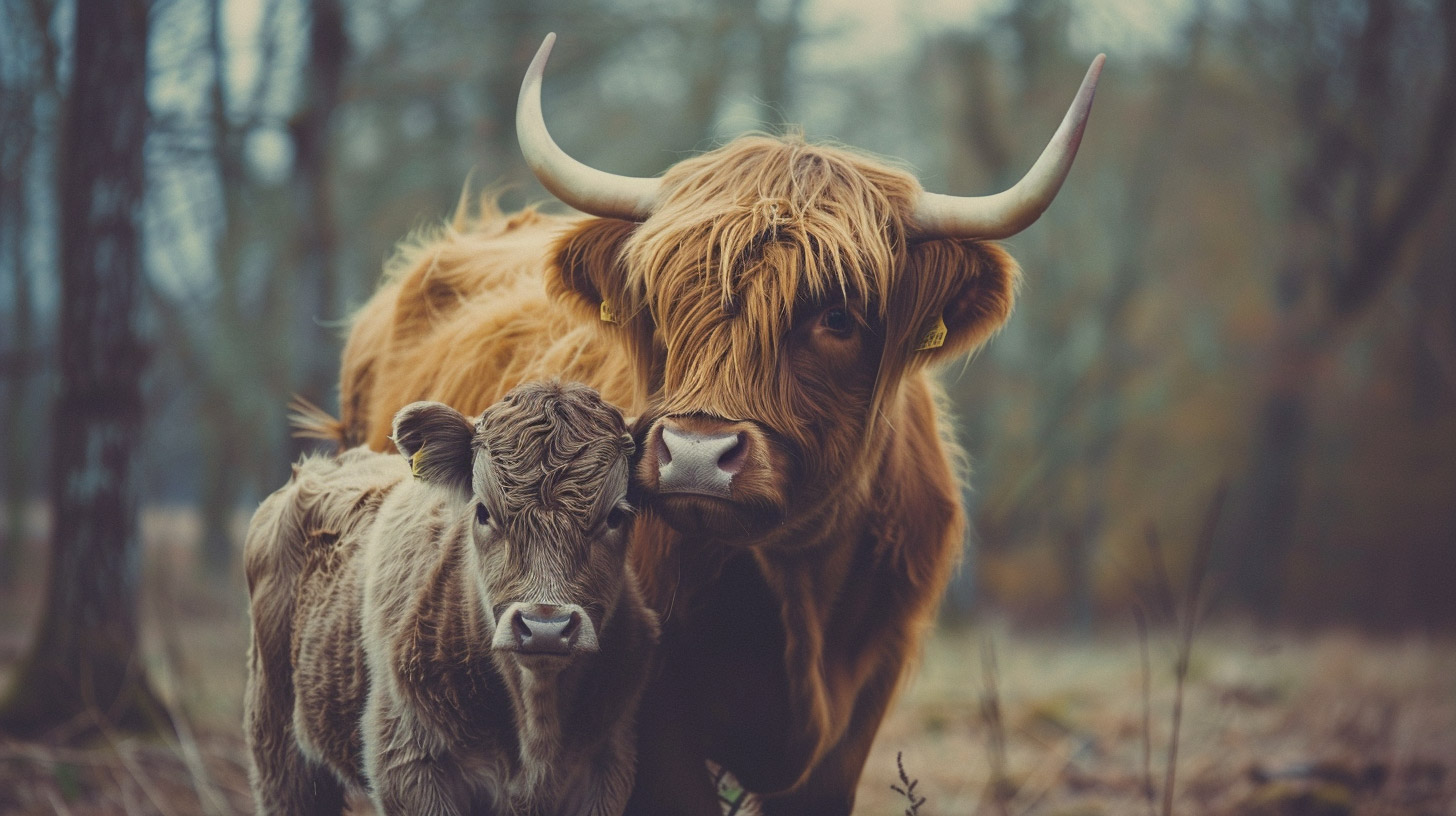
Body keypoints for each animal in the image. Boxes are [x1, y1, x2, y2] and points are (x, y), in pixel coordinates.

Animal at [246, 381, 661, 816]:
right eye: (483, 511)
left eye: (615, 516)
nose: (544, 627)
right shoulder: (407, 764)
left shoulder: (607, 768)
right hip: (279, 752)